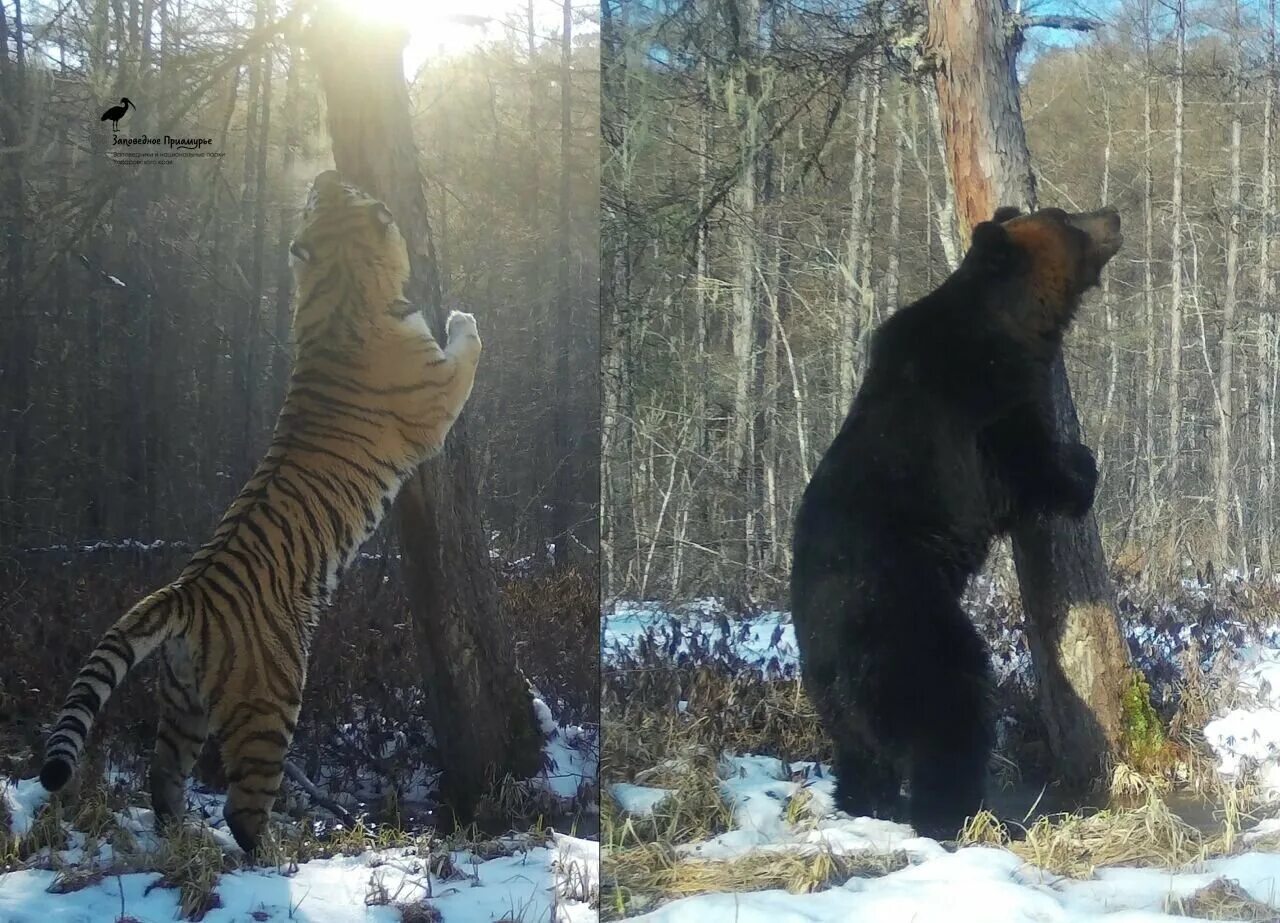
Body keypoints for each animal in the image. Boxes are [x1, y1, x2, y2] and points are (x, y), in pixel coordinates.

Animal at [41, 168, 483, 855]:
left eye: (321, 197)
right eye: (342, 193)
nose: (326, 172)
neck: (341, 285)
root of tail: (185, 593)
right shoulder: (438, 396)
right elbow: (468, 349)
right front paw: (464, 314)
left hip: (184, 704)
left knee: (163, 777)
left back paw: (180, 838)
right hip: (270, 702)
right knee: (242, 807)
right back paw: (277, 857)